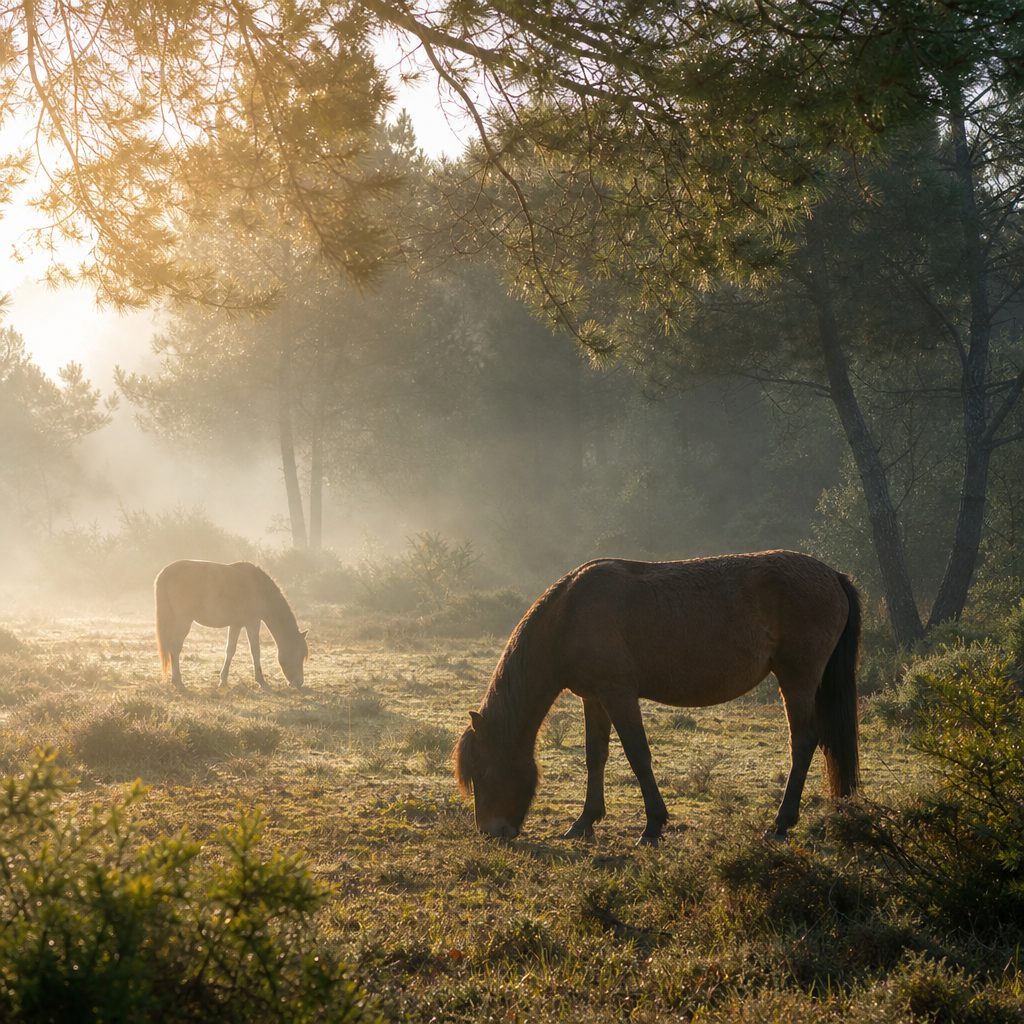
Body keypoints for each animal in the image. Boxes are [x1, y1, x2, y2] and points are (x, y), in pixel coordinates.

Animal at [154, 560, 308, 691]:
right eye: (300, 654)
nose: (299, 683)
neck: (259, 588)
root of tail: (167, 572)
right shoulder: (253, 622)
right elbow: (255, 651)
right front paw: (261, 681)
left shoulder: (236, 625)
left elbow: (230, 650)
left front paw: (223, 681)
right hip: (183, 621)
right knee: (175, 647)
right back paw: (179, 683)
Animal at [454, 551, 860, 845]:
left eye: (485, 770)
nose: (492, 831)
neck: (570, 614)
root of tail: (834, 576)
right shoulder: (595, 698)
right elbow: (595, 756)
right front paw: (585, 822)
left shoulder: (619, 693)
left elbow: (638, 755)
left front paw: (652, 827)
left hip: (797, 679)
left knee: (804, 742)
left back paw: (781, 823)